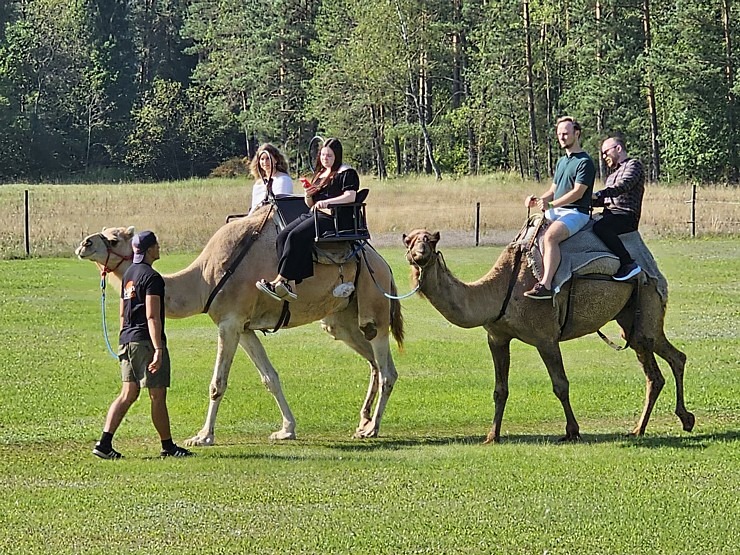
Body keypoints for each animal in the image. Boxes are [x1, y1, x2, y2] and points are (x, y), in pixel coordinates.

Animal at [75, 208, 404, 448]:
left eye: (113, 238)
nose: (84, 244)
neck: (204, 279)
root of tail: (383, 263)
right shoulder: (244, 328)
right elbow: (270, 378)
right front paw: (286, 430)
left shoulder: (230, 322)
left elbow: (217, 383)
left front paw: (202, 436)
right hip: (341, 319)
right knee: (374, 363)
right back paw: (362, 422)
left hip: (373, 302)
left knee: (387, 367)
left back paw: (372, 428)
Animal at [402, 229, 696, 444]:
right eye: (409, 241)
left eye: (431, 241)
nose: (419, 255)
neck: (501, 289)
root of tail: (651, 267)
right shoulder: (497, 337)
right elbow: (500, 389)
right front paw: (492, 435)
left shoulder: (545, 337)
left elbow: (560, 385)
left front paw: (572, 431)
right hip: (630, 321)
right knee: (667, 362)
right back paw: (662, 424)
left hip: (646, 304)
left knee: (661, 362)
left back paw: (660, 423)